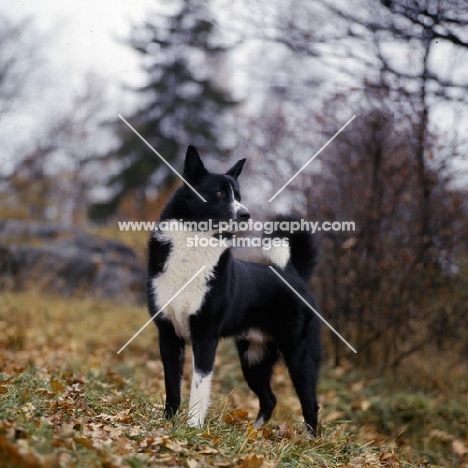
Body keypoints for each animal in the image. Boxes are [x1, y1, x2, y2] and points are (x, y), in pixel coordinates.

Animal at [147, 145, 322, 436]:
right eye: (219, 193)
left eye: (238, 196)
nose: (245, 214)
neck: (193, 245)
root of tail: (293, 274)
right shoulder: (168, 335)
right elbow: (172, 385)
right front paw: (168, 423)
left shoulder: (205, 336)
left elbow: (199, 388)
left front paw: (193, 427)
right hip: (254, 359)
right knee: (270, 399)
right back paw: (255, 432)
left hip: (300, 356)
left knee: (310, 403)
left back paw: (309, 441)